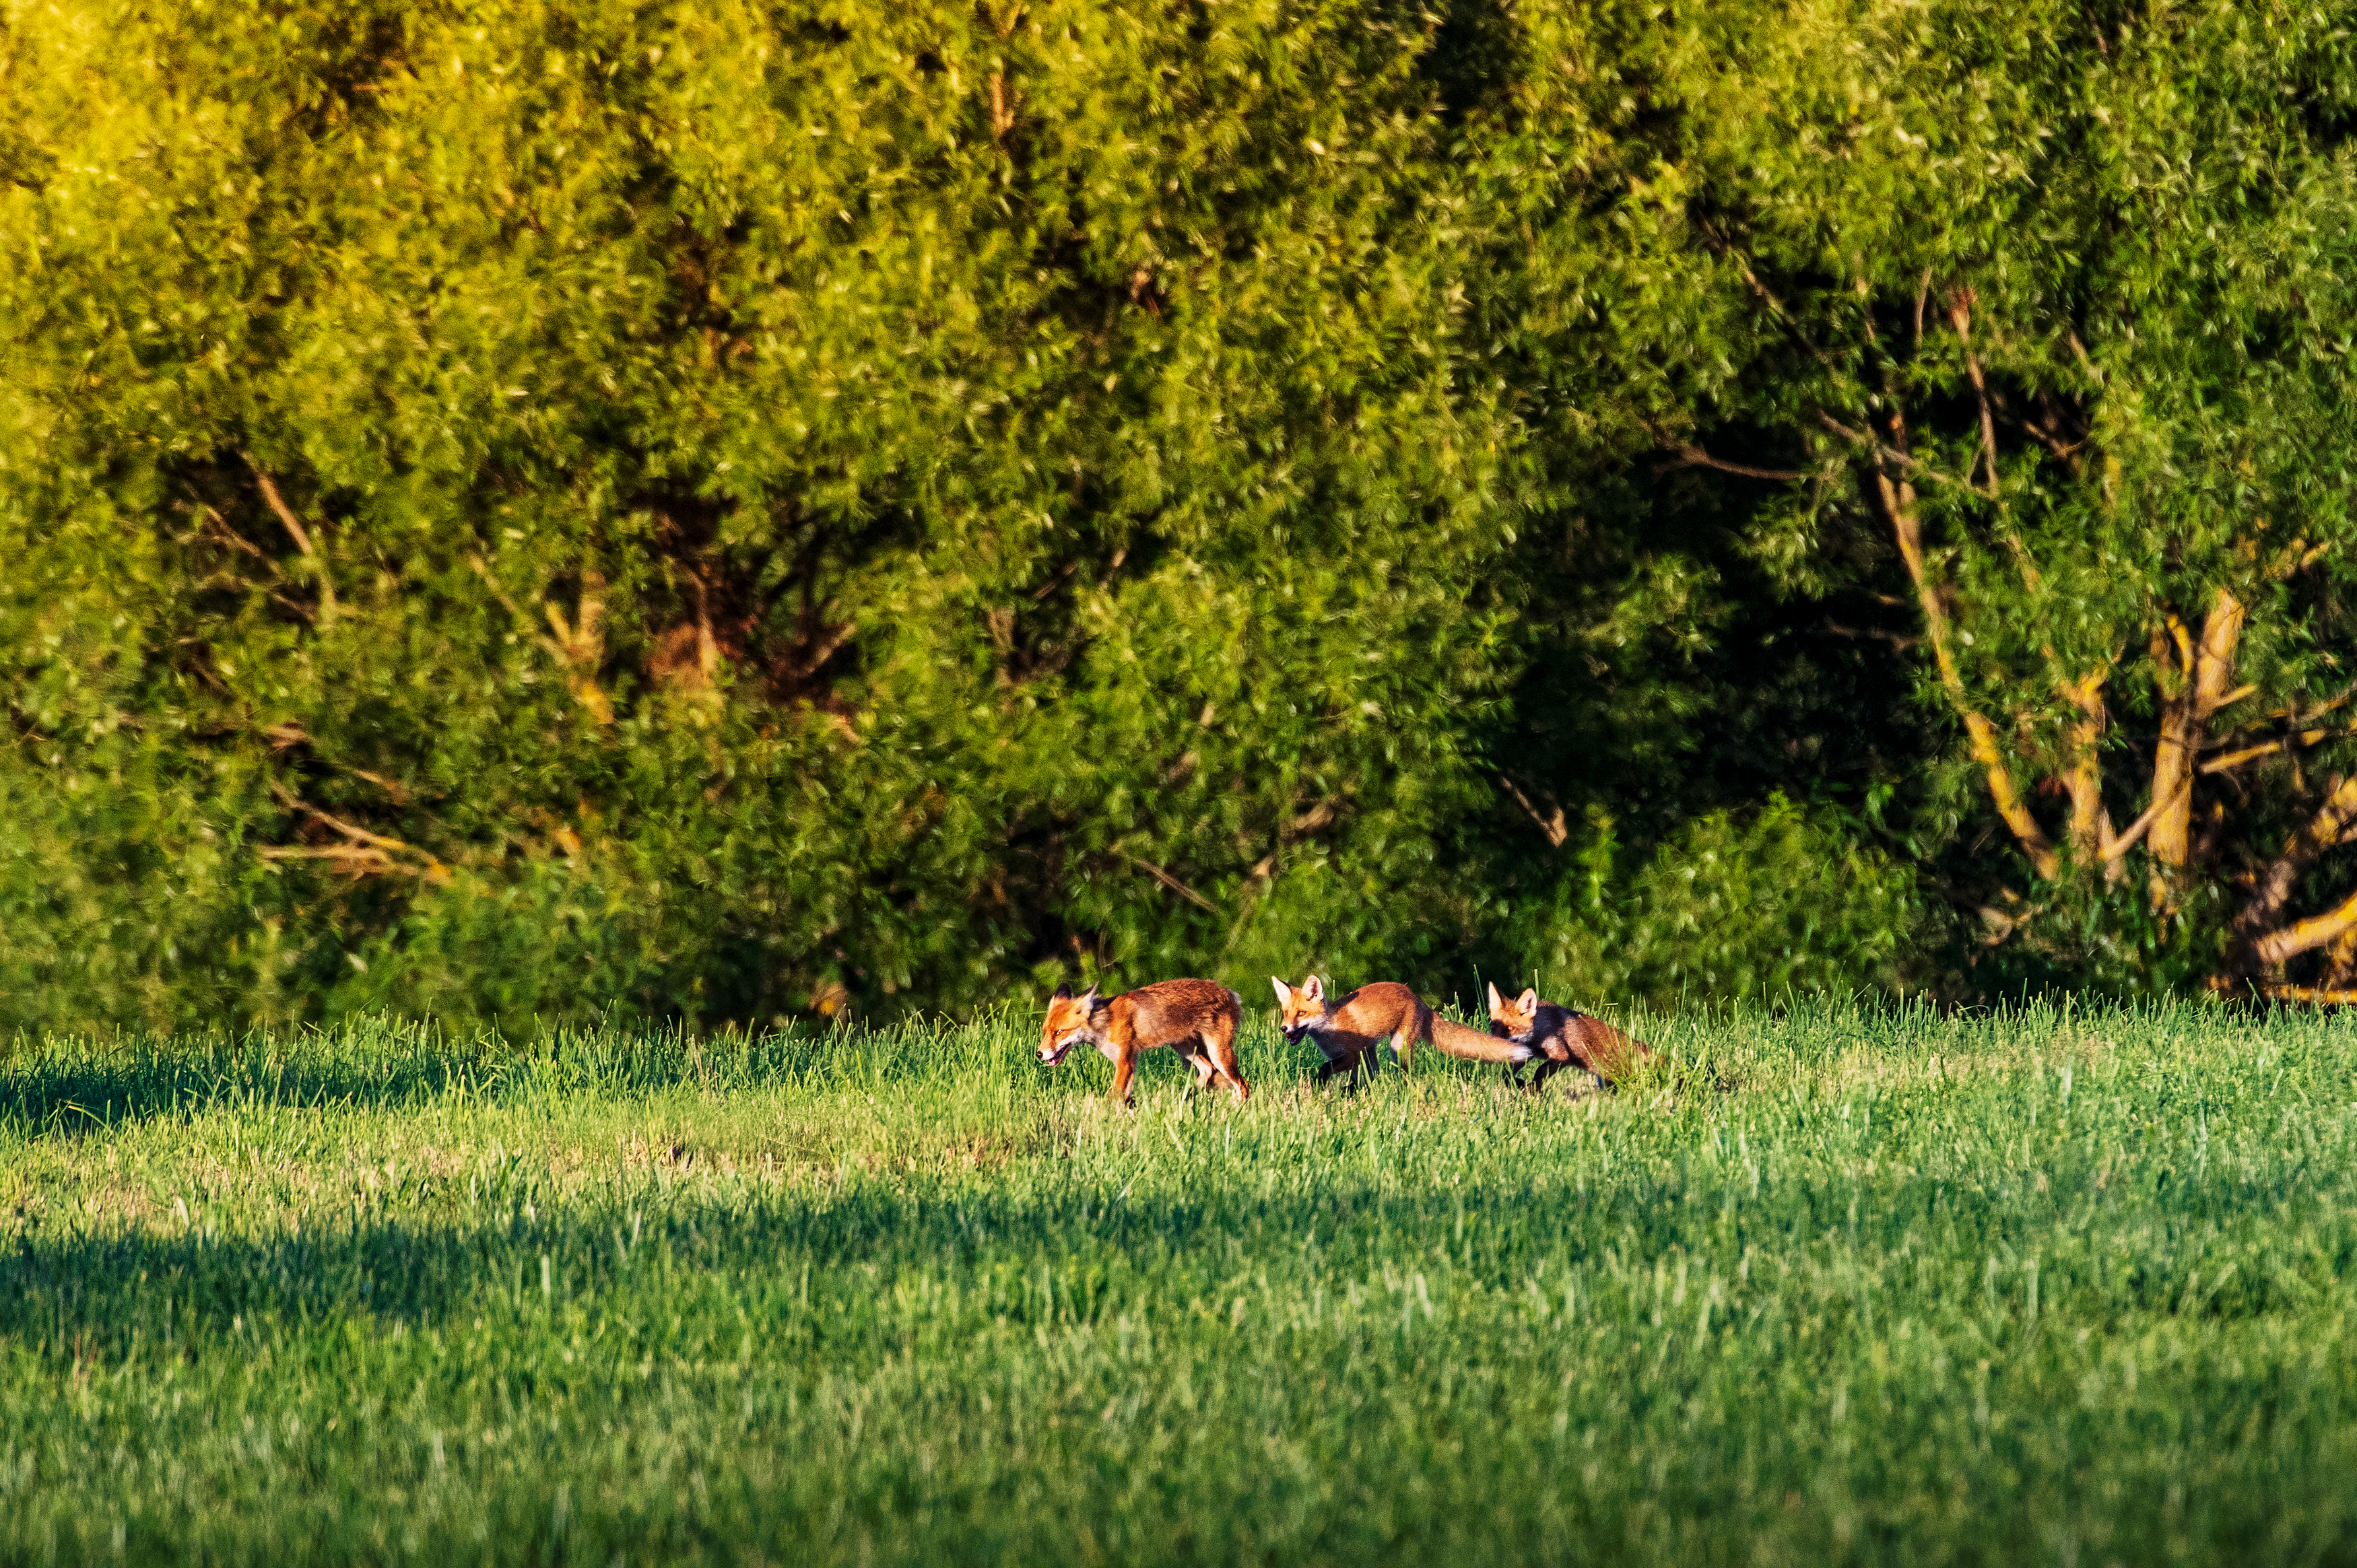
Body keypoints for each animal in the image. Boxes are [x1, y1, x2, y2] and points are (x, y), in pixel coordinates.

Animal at [1037, 980, 1254, 1099]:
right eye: (1045, 1032)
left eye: (1059, 1032)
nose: (1039, 1054)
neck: (1106, 1023)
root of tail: (1228, 991)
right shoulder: (1129, 1062)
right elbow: (1124, 1096)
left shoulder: (1125, 1062)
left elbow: (1113, 1097)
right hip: (1184, 1048)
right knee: (1208, 1070)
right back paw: (1189, 1096)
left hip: (1219, 1054)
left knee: (1243, 1085)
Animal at [1263, 966, 1537, 1089]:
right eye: (1286, 1013)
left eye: (1301, 1013)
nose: (1284, 1029)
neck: (1330, 1027)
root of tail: (1416, 996)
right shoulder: (1363, 1052)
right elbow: (1356, 1077)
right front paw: (1346, 1092)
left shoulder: (1353, 1054)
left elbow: (1325, 1068)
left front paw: (1321, 1085)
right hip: (1378, 1049)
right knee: (1377, 1073)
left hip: (1399, 1046)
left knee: (1406, 1076)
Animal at [1490, 980, 1659, 1089]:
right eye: (1493, 1026)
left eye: (1511, 1028)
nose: (1495, 1044)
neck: (1541, 1028)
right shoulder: (1527, 1052)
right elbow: (1506, 1074)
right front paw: (1517, 1084)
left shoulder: (1562, 1055)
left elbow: (1540, 1071)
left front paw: (1531, 1090)